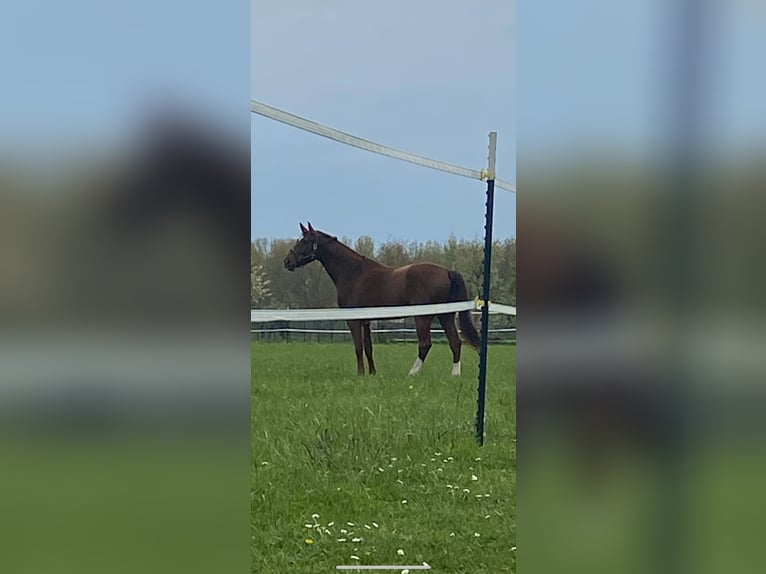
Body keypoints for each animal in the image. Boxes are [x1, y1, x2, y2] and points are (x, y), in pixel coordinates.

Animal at [283, 222, 481, 376]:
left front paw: (360, 374)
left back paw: (412, 372)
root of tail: (447, 271)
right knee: (455, 342)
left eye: (305, 241)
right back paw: (454, 374)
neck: (353, 273)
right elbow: (368, 348)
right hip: (445, 316)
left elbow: (358, 347)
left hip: (423, 317)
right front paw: (372, 373)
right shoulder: (366, 321)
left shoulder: (353, 320)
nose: (287, 261)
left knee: (425, 344)